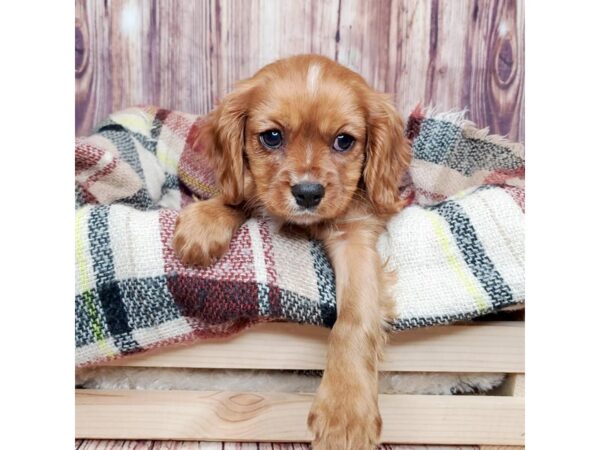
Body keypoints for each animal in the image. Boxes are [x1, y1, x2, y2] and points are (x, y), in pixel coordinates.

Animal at [171, 55, 410, 450]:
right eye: (272, 136)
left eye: (344, 141)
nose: (308, 193)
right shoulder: (258, 190)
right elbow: (242, 194)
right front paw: (204, 221)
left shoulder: (356, 236)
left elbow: (353, 320)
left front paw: (345, 412)